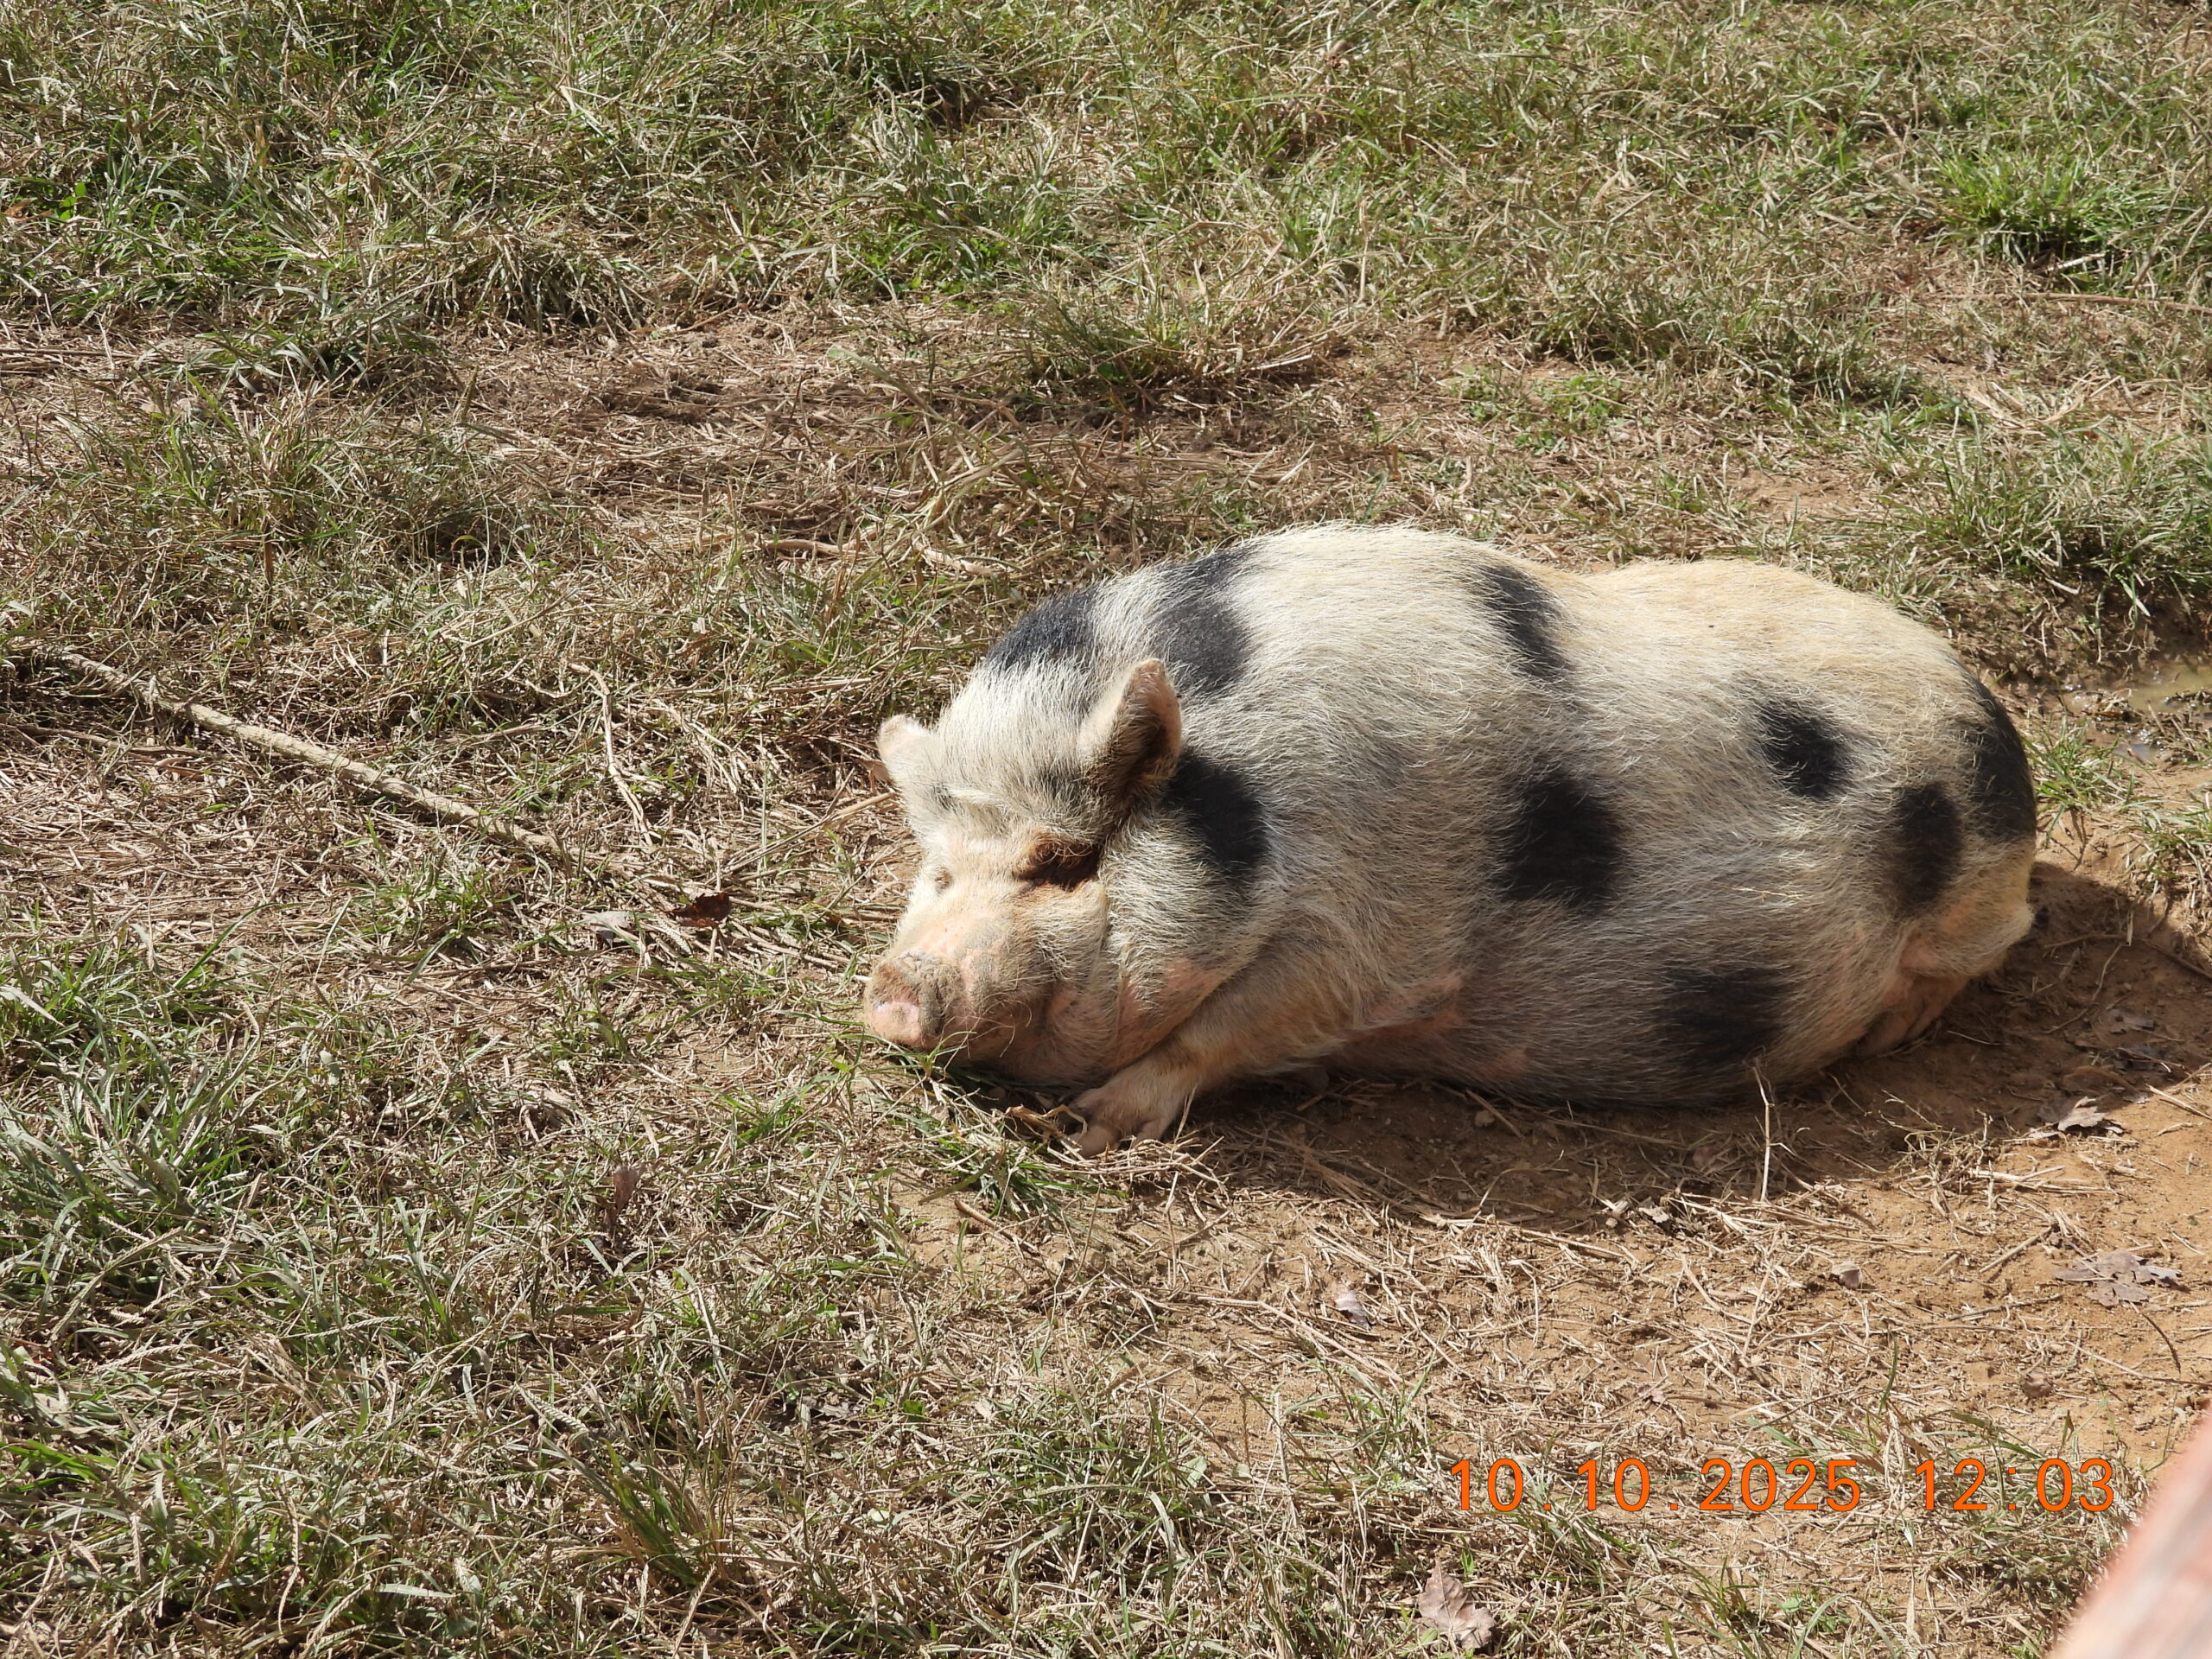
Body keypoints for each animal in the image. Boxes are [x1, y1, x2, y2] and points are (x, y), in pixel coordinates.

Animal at [864, 526, 2037, 1155]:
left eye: (1064, 863)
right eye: (938, 870)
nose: (897, 988)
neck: (1268, 806)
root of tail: (1997, 723)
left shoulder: (1371, 943)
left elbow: (1227, 1030)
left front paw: (1086, 1128)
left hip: (1974, 898)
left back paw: (1887, 1032)